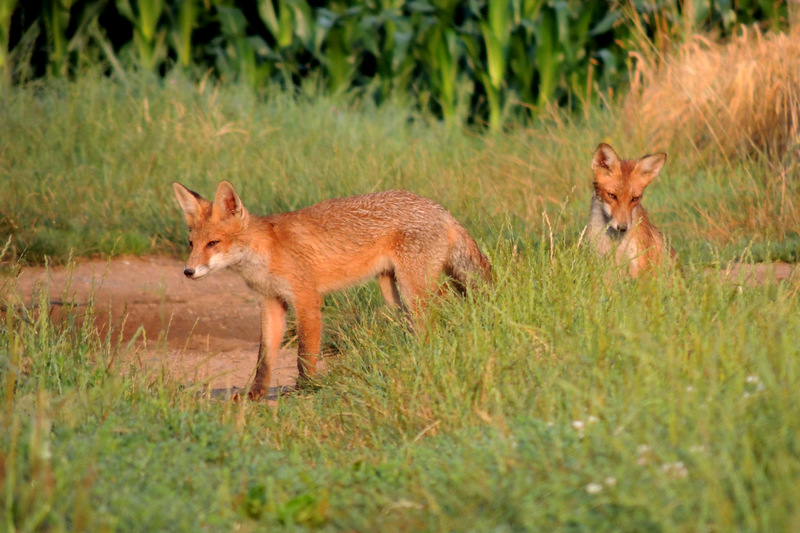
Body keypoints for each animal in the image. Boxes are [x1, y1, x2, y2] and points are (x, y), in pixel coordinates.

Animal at [172, 180, 490, 400]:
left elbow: (304, 353)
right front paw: (255, 396)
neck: (267, 253)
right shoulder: (271, 303)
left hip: (415, 290)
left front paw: (306, 389)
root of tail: (441, 210)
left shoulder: (307, 300)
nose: (188, 272)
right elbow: (264, 359)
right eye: (192, 244)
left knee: (444, 311)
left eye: (213, 243)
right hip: (394, 293)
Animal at [584, 143, 680, 276]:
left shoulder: (639, 266)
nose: (623, 227)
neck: (614, 243)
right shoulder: (601, 264)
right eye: (611, 195)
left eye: (634, 198)